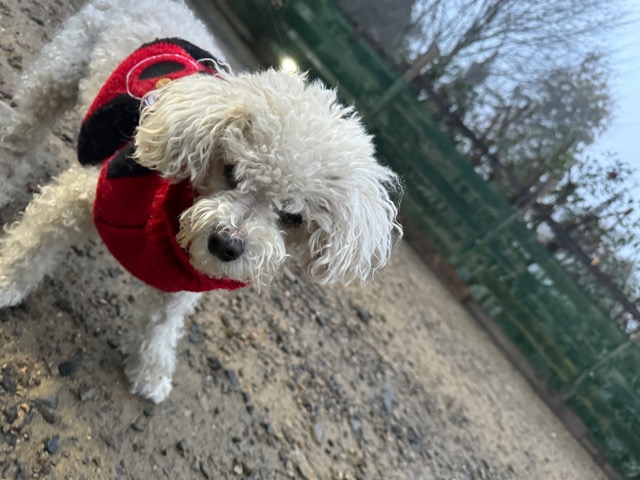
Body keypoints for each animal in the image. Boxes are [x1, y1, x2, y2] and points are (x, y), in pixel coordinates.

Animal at [0, 0, 402, 402]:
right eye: (231, 170)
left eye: (293, 216)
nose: (226, 244)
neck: (170, 218)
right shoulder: (83, 195)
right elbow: (33, 243)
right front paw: (6, 280)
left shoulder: (183, 277)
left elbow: (162, 324)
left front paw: (151, 369)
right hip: (58, 75)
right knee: (20, 134)